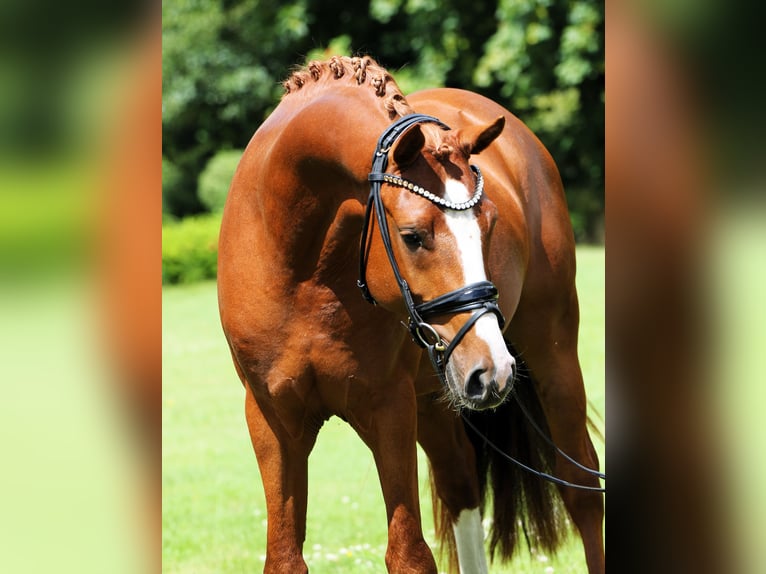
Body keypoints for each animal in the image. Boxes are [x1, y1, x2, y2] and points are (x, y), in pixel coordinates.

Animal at [218, 55, 608, 574]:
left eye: (490, 223)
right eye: (412, 236)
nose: (495, 369)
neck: (301, 268)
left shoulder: (389, 408)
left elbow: (409, 553)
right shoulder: (271, 419)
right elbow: (284, 557)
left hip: (551, 351)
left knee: (580, 488)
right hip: (441, 393)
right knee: (461, 484)